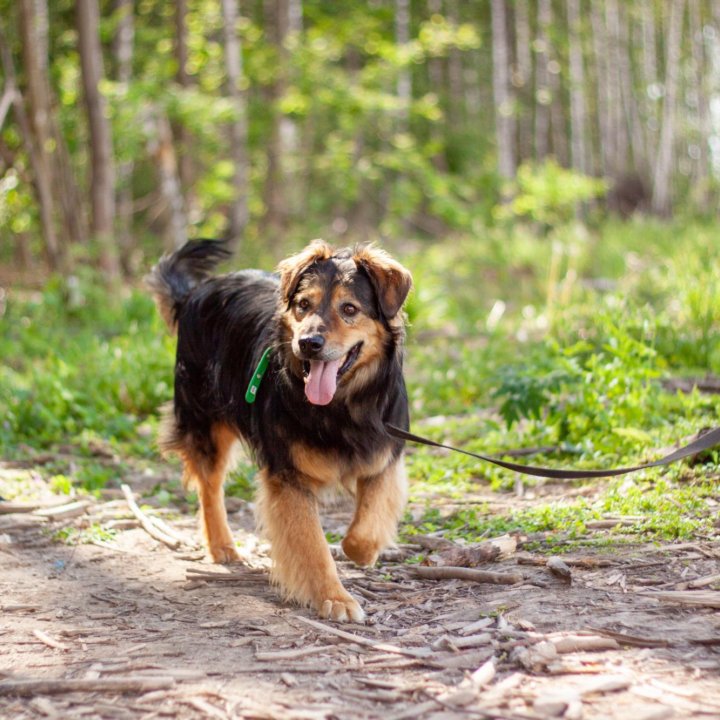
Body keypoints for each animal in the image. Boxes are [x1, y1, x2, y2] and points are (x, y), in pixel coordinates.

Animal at [148, 239, 410, 620]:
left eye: (349, 308)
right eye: (303, 305)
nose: (309, 343)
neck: (341, 406)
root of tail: (197, 291)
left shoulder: (383, 458)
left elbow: (366, 526)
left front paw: (358, 552)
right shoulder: (289, 477)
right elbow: (313, 545)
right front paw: (335, 598)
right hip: (205, 421)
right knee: (209, 486)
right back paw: (222, 545)